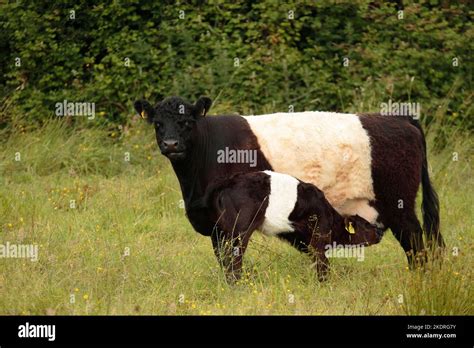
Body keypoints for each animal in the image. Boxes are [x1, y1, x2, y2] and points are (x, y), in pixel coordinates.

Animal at [196, 170, 386, 282]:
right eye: (366, 225)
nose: (380, 233)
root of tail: (226, 182)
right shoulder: (320, 235)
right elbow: (323, 262)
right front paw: (324, 284)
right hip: (239, 229)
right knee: (233, 256)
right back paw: (237, 284)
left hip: (217, 232)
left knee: (222, 255)